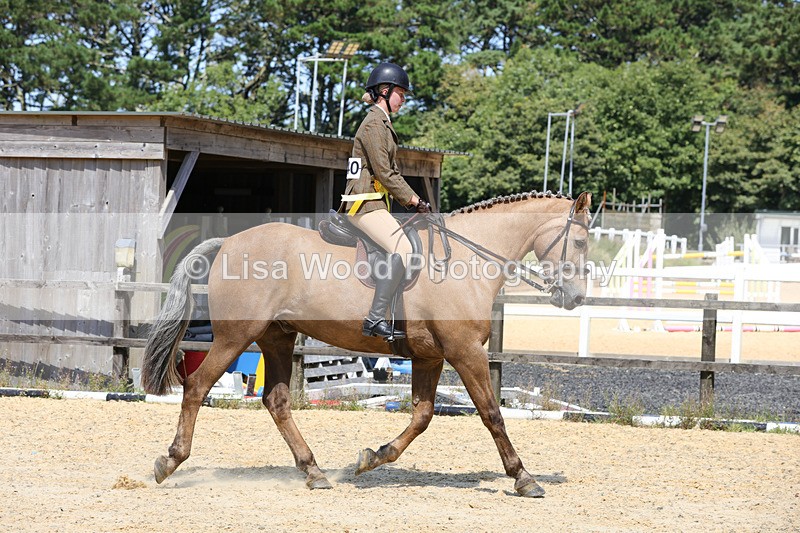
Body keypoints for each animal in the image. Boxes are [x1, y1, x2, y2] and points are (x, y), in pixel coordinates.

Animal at [142, 190, 592, 497]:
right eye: (582, 242)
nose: (575, 297)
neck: (467, 262)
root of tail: (230, 243)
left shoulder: (429, 357)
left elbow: (422, 416)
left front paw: (372, 458)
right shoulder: (466, 352)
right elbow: (492, 414)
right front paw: (524, 478)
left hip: (277, 337)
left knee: (276, 401)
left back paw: (314, 471)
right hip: (236, 336)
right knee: (197, 387)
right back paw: (170, 461)